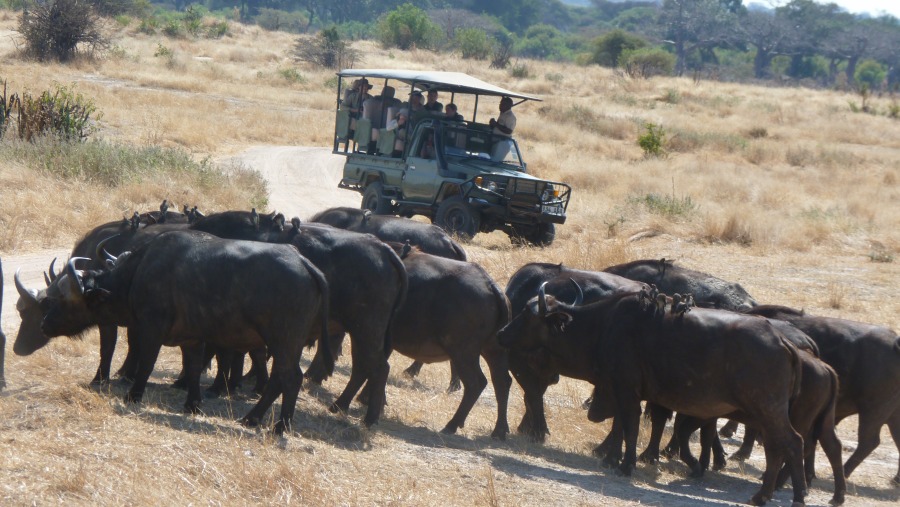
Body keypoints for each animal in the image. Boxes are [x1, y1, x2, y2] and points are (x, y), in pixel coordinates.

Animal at [14, 230, 332, 432]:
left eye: (61, 300)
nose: (43, 324)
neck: (137, 275)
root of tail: (305, 264)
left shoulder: (150, 330)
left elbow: (145, 363)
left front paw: (133, 395)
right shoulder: (192, 339)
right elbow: (191, 369)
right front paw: (192, 404)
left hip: (282, 341)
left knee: (290, 377)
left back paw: (275, 424)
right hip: (283, 345)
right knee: (282, 378)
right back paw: (260, 420)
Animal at [500, 290, 808, 507]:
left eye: (526, 315)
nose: (502, 332)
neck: (602, 326)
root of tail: (783, 341)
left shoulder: (626, 390)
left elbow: (630, 427)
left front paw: (626, 465)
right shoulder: (620, 390)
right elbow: (620, 427)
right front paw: (611, 459)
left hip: (768, 409)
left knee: (793, 442)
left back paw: (792, 496)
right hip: (764, 414)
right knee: (776, 448)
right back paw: (766, 494)